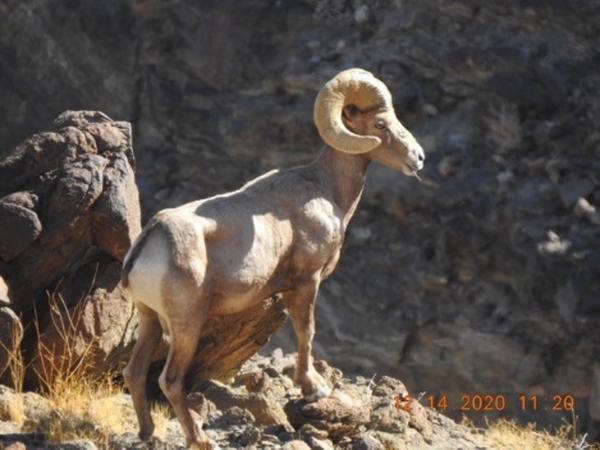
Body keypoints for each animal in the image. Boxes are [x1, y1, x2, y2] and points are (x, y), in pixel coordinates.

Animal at [120, 68, 422, 448]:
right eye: (381, 124)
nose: (418, 158)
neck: (325, 189)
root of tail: (152, 237)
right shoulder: (306, 282)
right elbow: (306, 332)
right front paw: (313, 390)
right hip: (186, 325)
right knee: (170, 380)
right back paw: (201, 439)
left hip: (150, 320)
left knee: (135, 372)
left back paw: (147, 432)